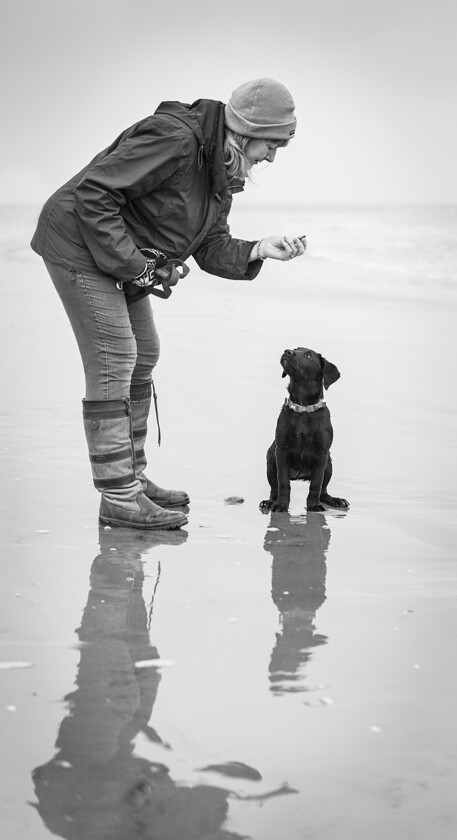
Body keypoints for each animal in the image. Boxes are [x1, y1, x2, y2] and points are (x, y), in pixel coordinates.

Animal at [260, 346, 350, 512]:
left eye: (309, 356)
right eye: (296, 349)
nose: (287, 351)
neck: (303, 408)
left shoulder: (322, 454)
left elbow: (316, 484)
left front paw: (313, 505)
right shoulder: (281, 451)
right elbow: (283, 483)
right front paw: (281, 504)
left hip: (329, 463)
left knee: (323, 491)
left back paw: (335, 500)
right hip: (271, 459)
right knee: (274, 488)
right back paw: (270, 502)